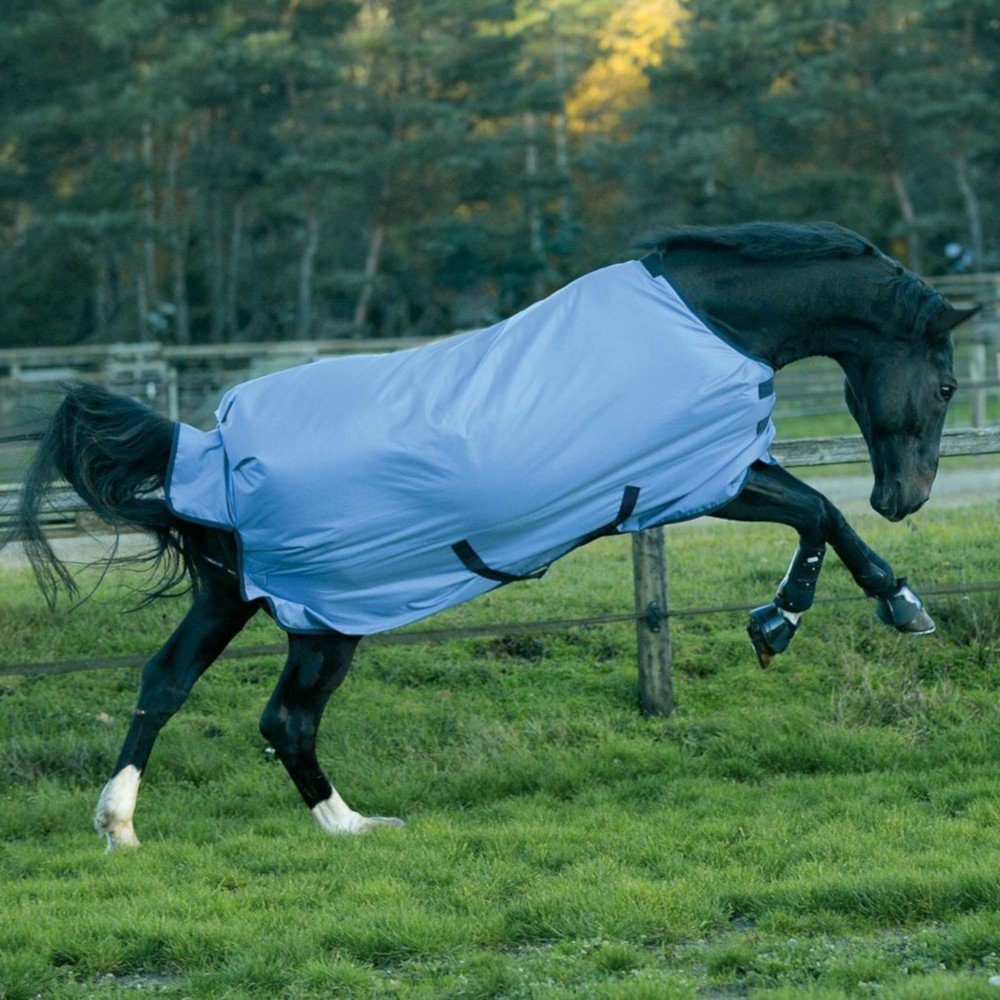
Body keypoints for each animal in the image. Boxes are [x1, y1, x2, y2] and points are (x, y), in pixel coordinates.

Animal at [3, 222, 976, 852]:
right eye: (947, 388)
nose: (906, 497)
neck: (709, 325)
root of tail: (206, 451)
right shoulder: (704, 478)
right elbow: (819, 513)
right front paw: (839, 613)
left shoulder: (701, 477)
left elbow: (819, 514)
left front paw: (819, 613)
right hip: (328, 618)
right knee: (285, 718)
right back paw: (353, 827)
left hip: (236, 597)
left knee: (165, 684)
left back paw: (123, 825)